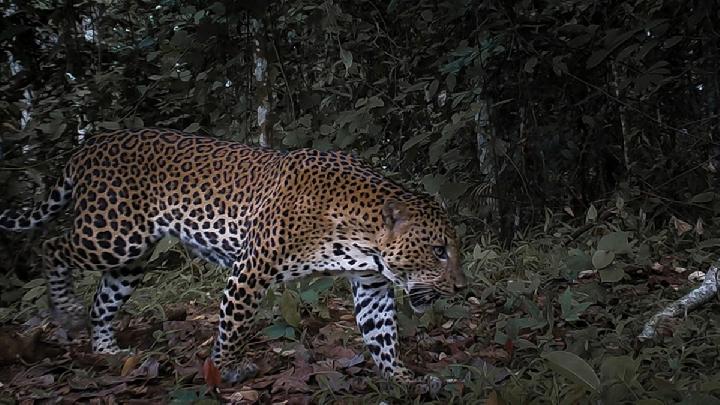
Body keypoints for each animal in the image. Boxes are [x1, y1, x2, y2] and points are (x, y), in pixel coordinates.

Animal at [0, 128, 467, 392]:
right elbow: (234, 327)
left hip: (130, 259)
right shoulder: (251, 269)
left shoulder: (372, 285)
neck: (359, 238)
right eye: (438, 250)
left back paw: (108, 352)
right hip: (111, 234)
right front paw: (225, 372)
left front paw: (404, 380)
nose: (463, 288)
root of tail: (89, 146)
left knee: (104, 299)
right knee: (51, 246)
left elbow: (381, 336)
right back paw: (64, 311)